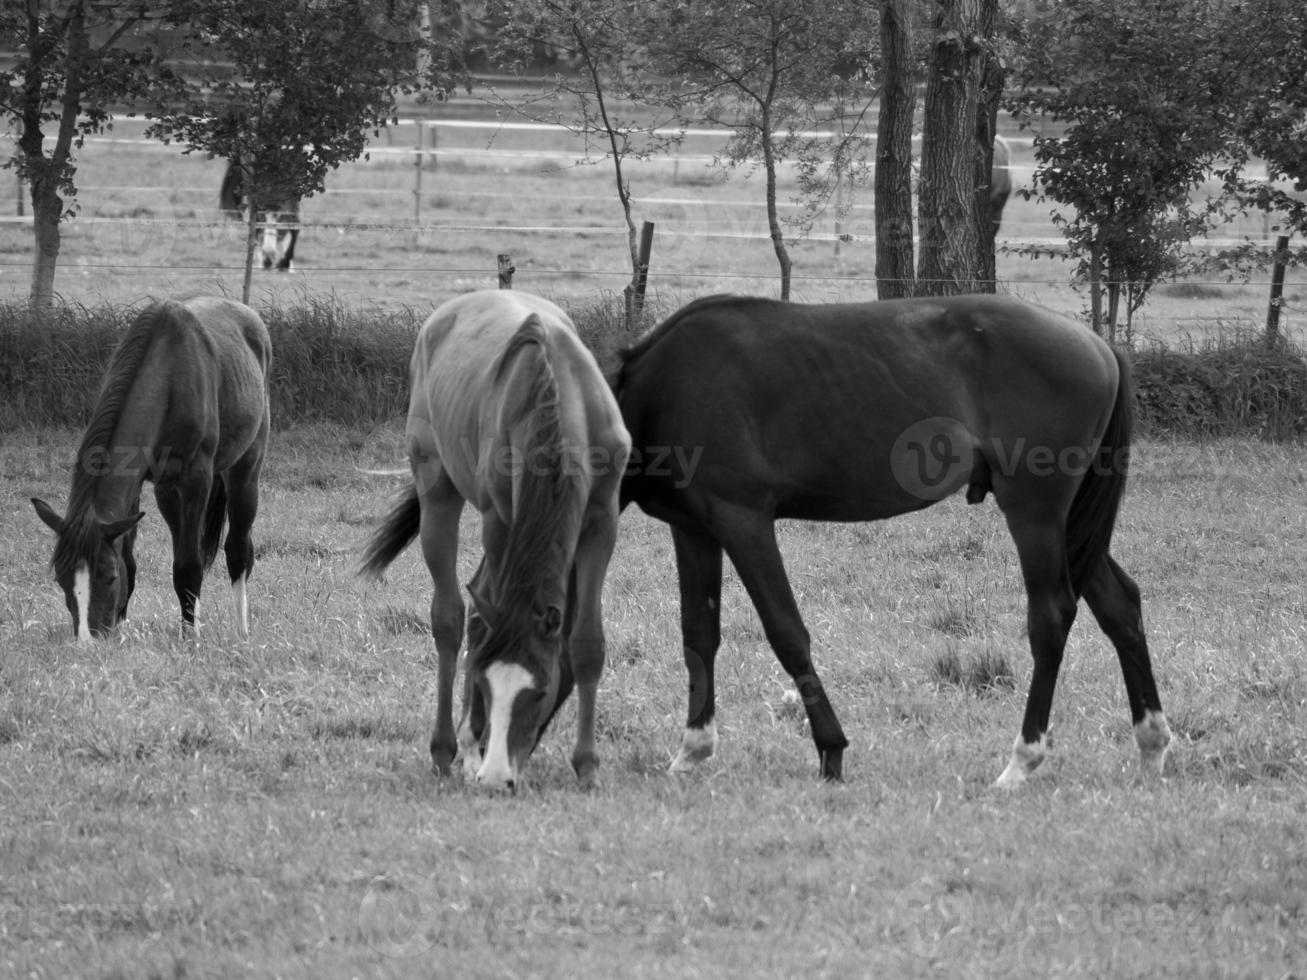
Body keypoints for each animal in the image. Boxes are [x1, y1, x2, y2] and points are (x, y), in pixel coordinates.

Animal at [31, 295, 270, 640]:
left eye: (108, 577)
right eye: (61, 577)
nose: (88, 640)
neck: (168, 378)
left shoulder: (195, 478)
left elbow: (188, 566)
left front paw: (190, 638)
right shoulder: (141, 483)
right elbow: (131, 561)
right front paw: (121, 630)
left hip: (245, 471)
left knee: (238, 551)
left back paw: (241, 631)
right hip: (167, 492)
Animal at [352, 287, 627, 794]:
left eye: (540, 692)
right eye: (483, 684)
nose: (498, 777)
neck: (558, 399)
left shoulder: (601, 521)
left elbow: (586, 641)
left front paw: (587, 765)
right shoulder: (501, 521)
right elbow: (481, 621)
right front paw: (474, 740)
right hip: (439, 491)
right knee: (450, 616)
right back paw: (447, 748)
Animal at [611, 294, 1176, 789]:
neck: (664, 390)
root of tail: (1099, 345)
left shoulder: (744, 522)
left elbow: (787, 633)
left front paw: (831, 752)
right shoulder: (694, 531)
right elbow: (698, 636)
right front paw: (691, 751)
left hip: (1036, 516)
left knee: (1052, 617)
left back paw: (1022, 762)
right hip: (1070, 528)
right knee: (1120, 606)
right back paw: (1151, 745)